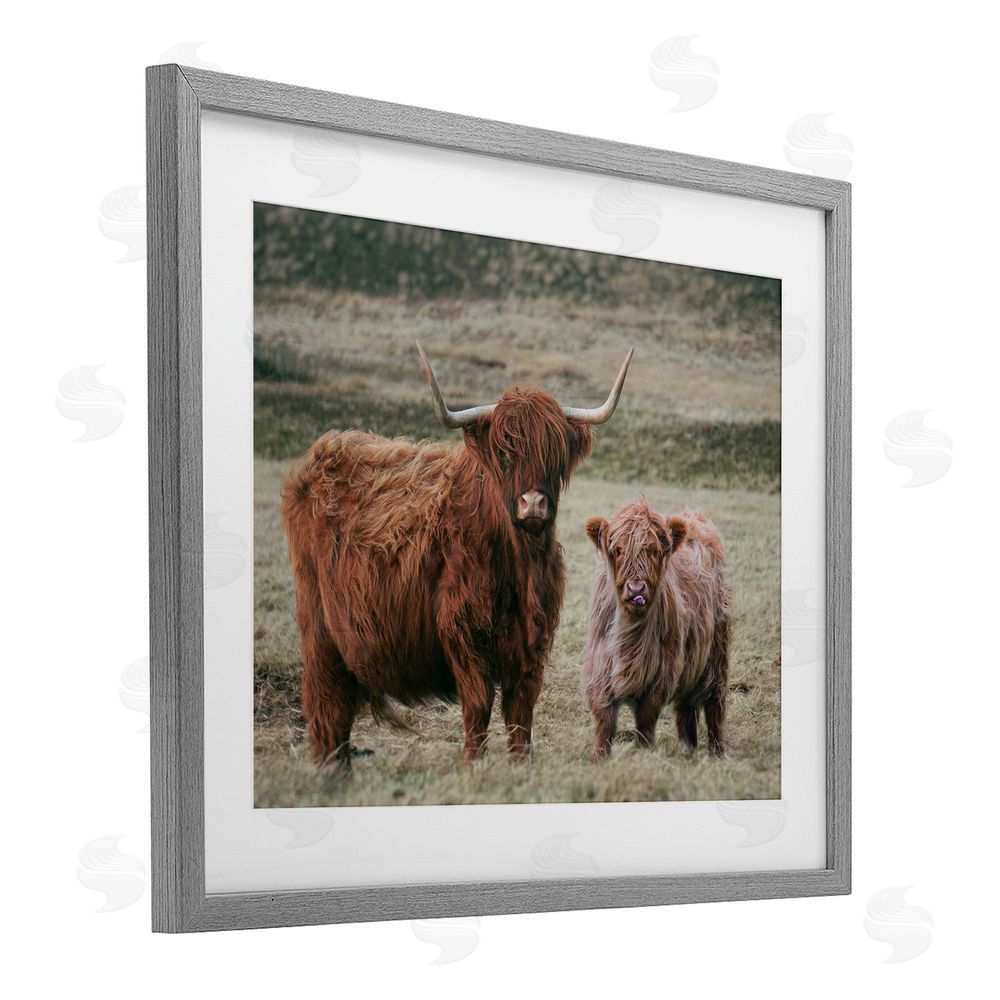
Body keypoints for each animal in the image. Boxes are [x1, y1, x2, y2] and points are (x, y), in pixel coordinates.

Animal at [282, 342, 633, 771]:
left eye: (555, 454)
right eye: (504, 453)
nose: (533, 503)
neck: (517, 564)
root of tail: (323, 452)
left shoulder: (531, 640)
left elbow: (521, 711)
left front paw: (520, 765)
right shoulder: (465, 632)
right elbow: (478, 705)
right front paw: (471, 764)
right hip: (319, 624)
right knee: (325, 700)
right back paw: (331, 769)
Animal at [581, 499, 730, 759]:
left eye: (653, 550)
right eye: (618, 550)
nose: (635, 589)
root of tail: (695, 516)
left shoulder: (662, 671)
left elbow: (646, 719)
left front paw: (642, 753)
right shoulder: (600, 666)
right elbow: (604, 719)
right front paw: (598, 756)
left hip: (716, 653)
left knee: (714, 704)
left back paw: (716, 753)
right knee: (686, 707)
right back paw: (688, 750)